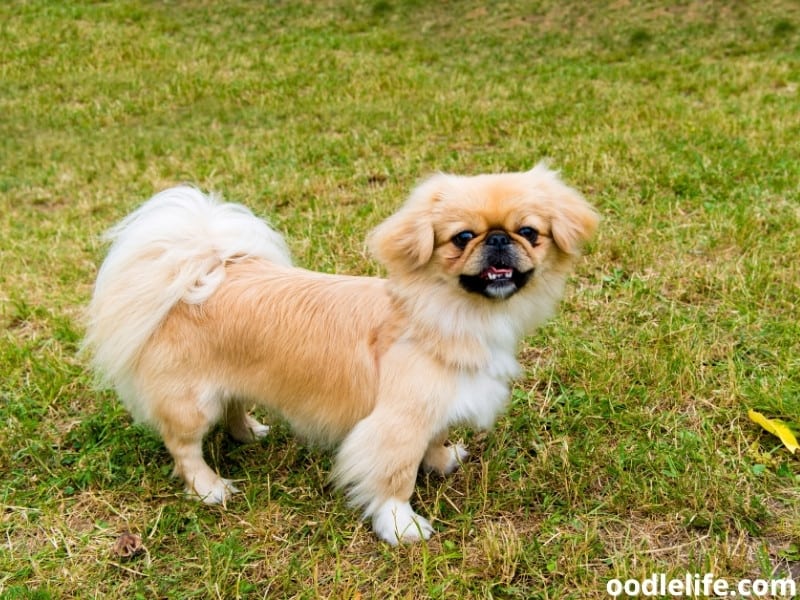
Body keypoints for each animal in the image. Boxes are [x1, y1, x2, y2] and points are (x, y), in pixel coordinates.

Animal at [84, 163, 596, 544]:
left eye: (528, 231)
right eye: (462, 237)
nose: (498, 239)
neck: (447, 314)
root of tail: (201, 272)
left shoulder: (436, 405)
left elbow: (433, 439)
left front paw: (441, 459)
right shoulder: (396, 422)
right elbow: (394, 476)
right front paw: (402, 526)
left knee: (234, 406)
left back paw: (248, 433)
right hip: (192, 402)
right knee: (184, 447)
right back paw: (210, 488)